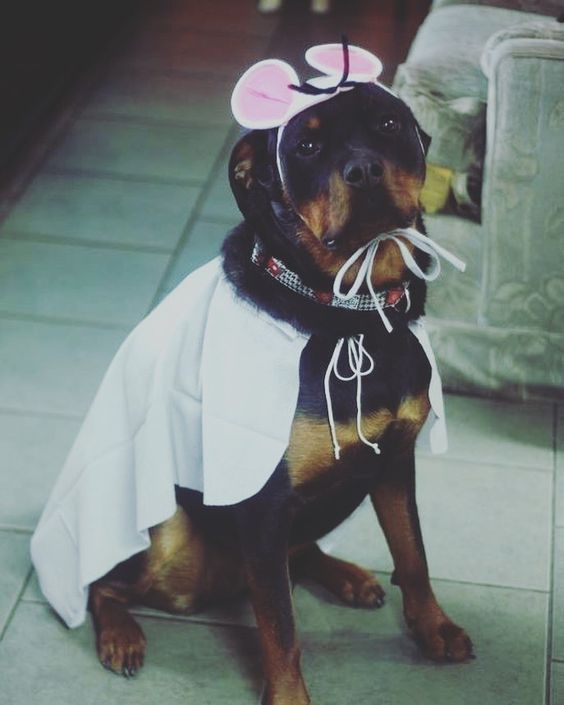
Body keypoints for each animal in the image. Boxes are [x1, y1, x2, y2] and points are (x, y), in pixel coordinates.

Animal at [30, 44, 472, 704]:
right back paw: (121, 636)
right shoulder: (262, 498)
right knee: (105, 586)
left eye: (388, 124)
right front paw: (288, 696)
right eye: (306, 146)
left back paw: (343, 574)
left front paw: (434, 628)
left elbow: (414, 553)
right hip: (166, 531)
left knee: (297, 555)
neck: (350, 311)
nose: (363, 170)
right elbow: (281, 627)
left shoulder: (394, 459)